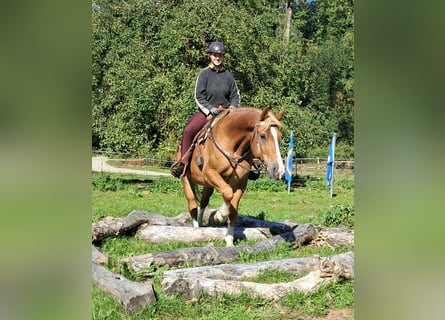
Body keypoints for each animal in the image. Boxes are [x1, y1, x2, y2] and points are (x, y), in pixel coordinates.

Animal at [177, 106, 284, 246]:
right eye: (263, 136)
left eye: (280, 137)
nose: (279, 170)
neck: (232, 148)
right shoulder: (210, 173)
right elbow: (227, 193)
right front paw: (219, 216)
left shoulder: (240, 184)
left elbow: (233, 210)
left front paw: (229, 240)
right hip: (187, 179)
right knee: (192, 204)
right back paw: (195, 228)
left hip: (208, 186)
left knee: (204, 202)